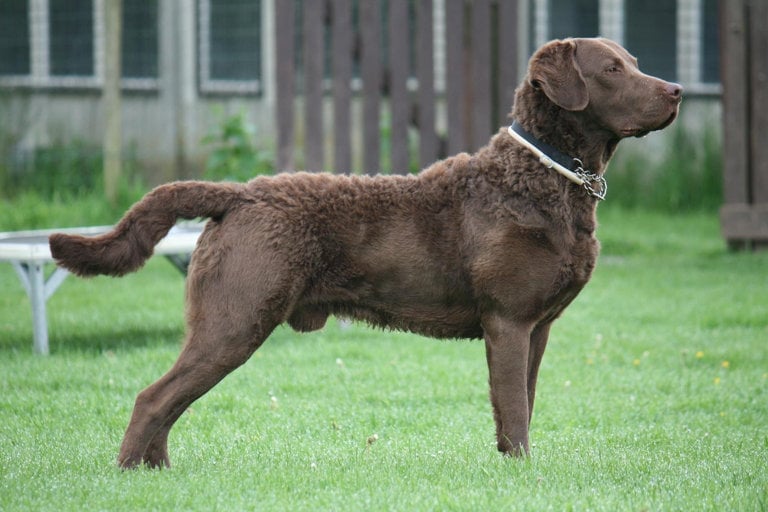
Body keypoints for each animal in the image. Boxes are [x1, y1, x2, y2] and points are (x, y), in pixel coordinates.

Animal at [51, 39, 680, 468]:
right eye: (612, 69)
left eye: (630, 61)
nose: (676, 91)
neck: (543, 176)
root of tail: (239, 192)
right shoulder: (508, 321)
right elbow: (514, 408)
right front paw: (523, 473)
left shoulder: (537, 327)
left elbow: (519, 403)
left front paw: (514, 467)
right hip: (235, 320)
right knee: (152, 397)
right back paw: (130, 473)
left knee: (169, 401)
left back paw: (156, 471)